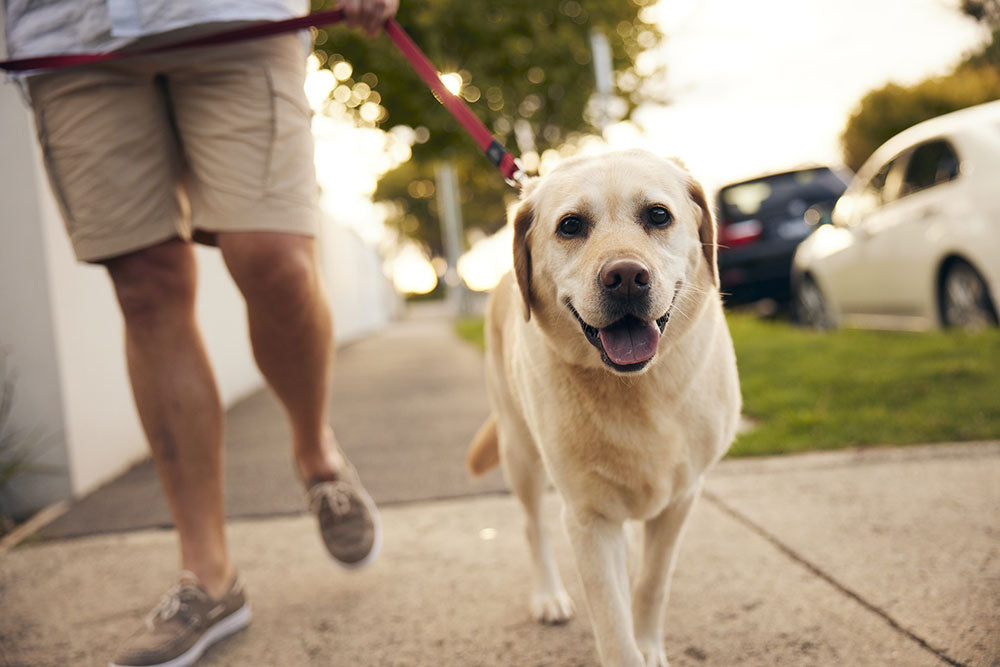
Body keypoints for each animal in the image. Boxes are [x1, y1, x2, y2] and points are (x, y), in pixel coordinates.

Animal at [464, 149, 740, 664]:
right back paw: (549, 596)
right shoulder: (588, 518)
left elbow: (653, 583)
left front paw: (649, 643)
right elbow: (613, 623)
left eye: (658, 215)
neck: (636, 387)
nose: (626, 277)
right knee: (533, 527)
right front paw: (630, 644)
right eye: (571, 225)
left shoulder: (682, 499)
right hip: (519, 452)